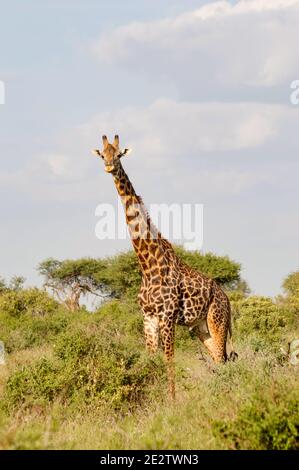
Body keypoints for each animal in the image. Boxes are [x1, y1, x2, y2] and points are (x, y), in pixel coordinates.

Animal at [92, 134, 238, 398]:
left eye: (118, 154)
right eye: (102, 154)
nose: (109, 166)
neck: (148, 266)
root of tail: (227, 299)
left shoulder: (167, 316)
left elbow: (169, 360)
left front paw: (172, 401)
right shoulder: (148, 317)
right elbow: (150, 359)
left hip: (218, 320)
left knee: (222, 357)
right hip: (199, 327)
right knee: (217, 356)